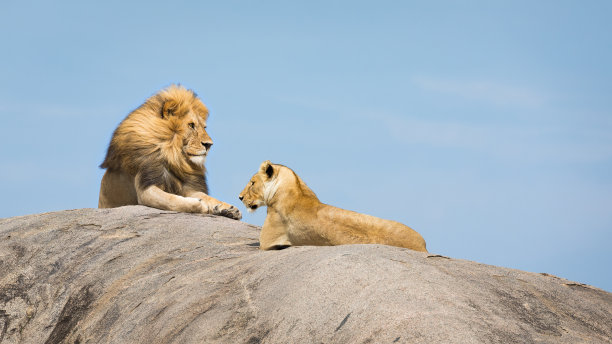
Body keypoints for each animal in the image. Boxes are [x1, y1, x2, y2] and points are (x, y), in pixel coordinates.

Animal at [98, 84, 241, 219]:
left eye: (204, 127)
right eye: (191, 125)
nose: (209, 144)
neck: (173, 156)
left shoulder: (187, 186)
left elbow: (207, 196)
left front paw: (228, 208)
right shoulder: (146, 190)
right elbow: (173, 200)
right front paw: (200, 205)